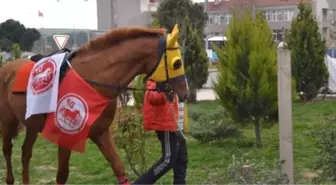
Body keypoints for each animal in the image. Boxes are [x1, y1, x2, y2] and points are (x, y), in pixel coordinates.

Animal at [0, 24, 189, 185]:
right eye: (177, 63)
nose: (185, 93)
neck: (91, 80)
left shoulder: (101, 132)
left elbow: (119, 167)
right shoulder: (65, 135)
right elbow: (62, 175)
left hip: (31, 124)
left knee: (25, 153)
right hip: (7, 121)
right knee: (8, 150)